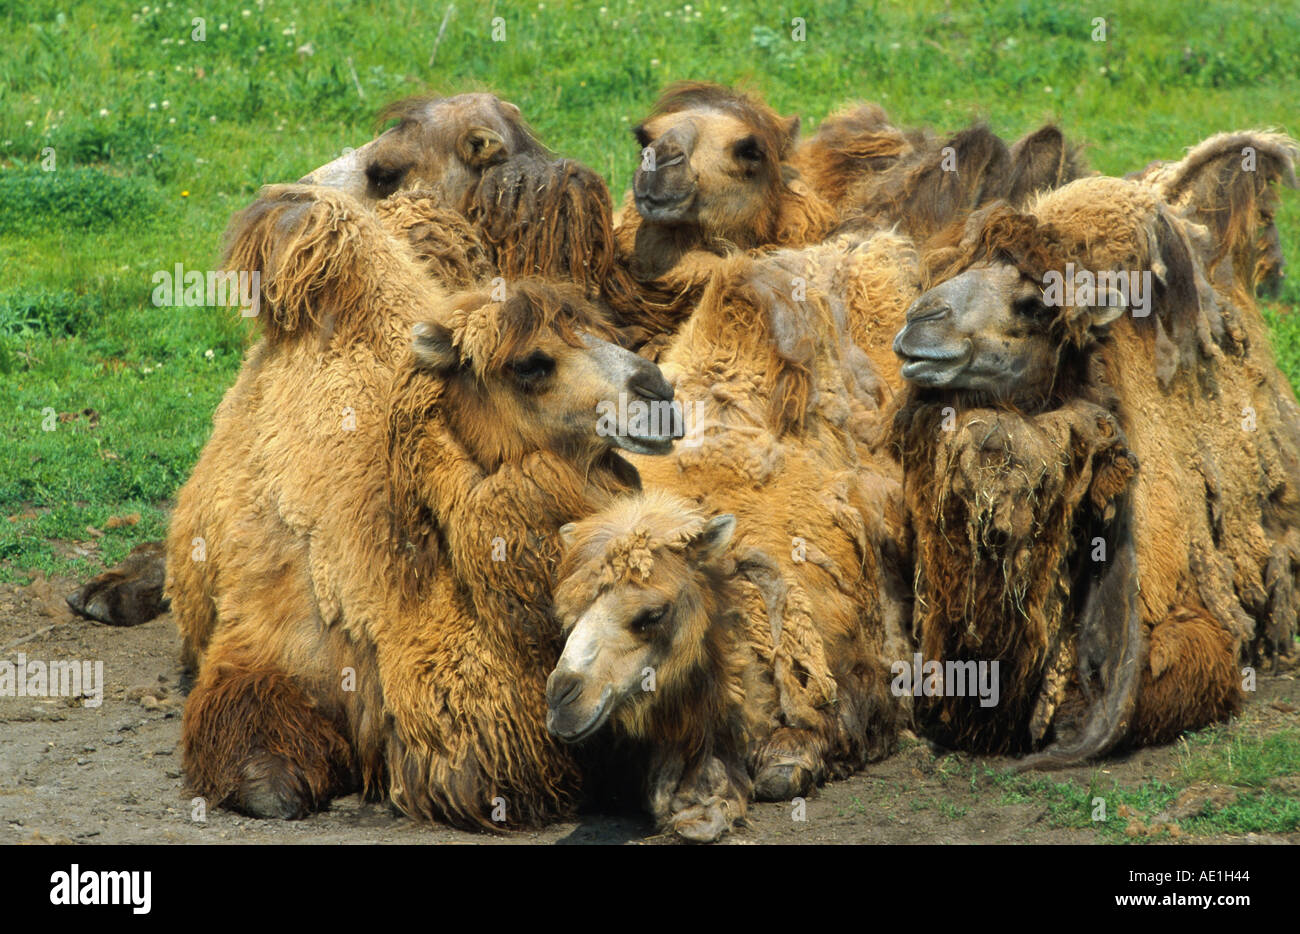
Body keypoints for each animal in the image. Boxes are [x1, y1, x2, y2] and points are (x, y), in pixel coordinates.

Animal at [169, 183, 678, 827]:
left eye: (601, 330)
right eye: (531, 364)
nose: (660, 393)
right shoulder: (264, 637)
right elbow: (262, 759)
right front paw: (269, 782)